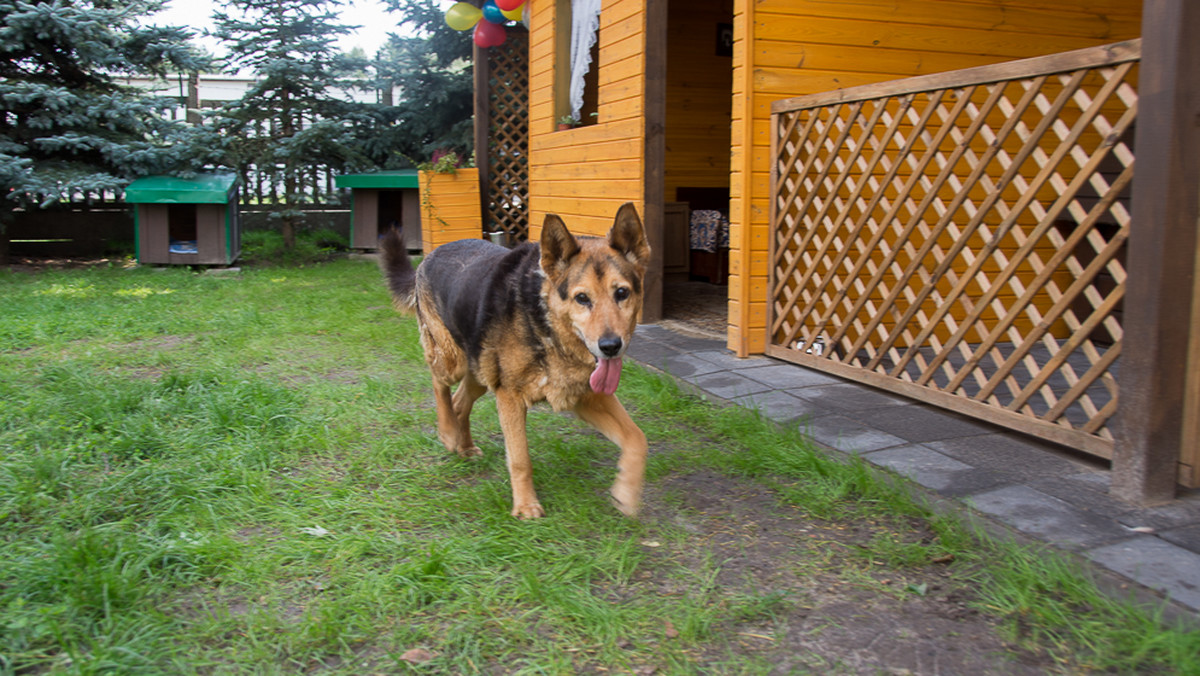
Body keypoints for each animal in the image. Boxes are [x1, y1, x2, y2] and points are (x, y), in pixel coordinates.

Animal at [379, 204, 652, 521]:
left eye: (621, 293)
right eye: (582, 298)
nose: (610, 347)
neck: (545, 324)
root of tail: (430, 255)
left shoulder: (587, 396)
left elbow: (637, 438)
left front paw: (626, 493)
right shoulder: (510, 397)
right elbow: (521, 459)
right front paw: (525, 505)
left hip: (480, 372)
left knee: (460, 403)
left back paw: (465, 446)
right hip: (452, 361)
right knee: (439, 384)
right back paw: (447, 433)